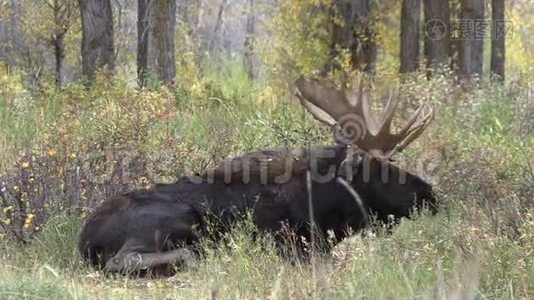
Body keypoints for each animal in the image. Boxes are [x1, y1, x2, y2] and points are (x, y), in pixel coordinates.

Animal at [80, 77, 440, 274]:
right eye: (380, 167)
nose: (430, 193)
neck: (323, 206)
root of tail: (83, 241)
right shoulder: (290, 244)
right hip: (178, 218)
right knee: (126, 260)